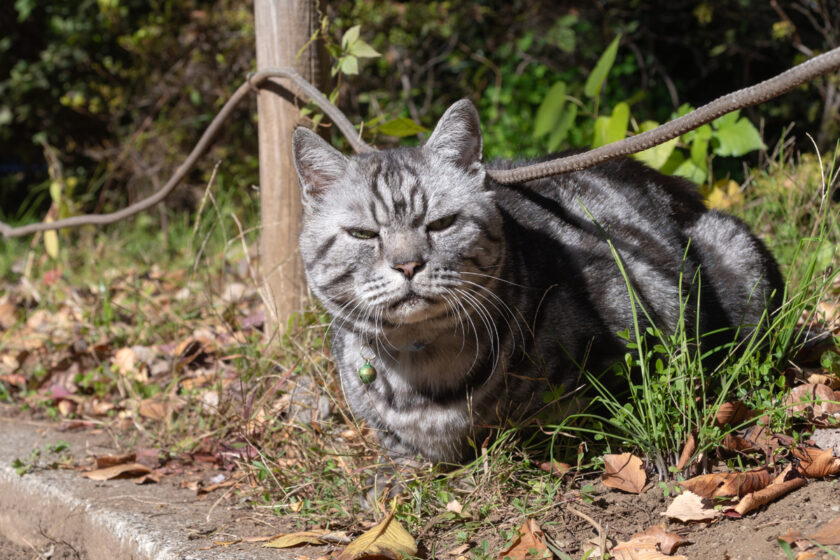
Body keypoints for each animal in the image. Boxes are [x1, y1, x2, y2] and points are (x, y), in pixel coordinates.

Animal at [290, 100, 780, 464]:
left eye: (442, 224)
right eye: (363, 235)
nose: (408, 264)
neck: (423, 367)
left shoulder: (626, 352)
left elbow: (562, 425)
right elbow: (398, 453)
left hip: (735, 259)